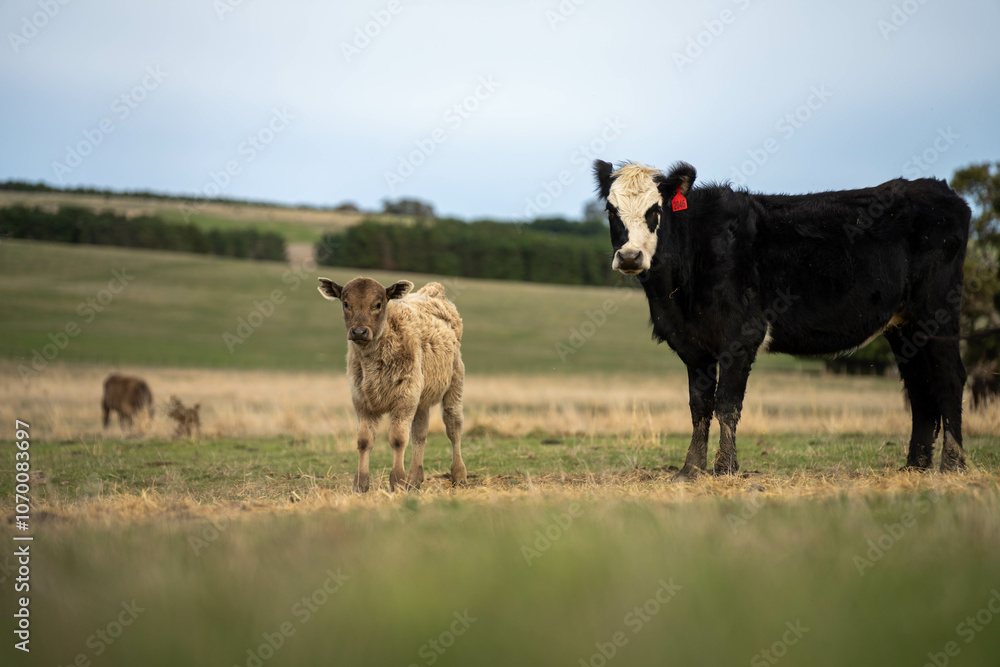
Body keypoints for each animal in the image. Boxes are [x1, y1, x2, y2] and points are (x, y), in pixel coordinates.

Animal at [317, 276, 467, 493]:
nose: (359, 331)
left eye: (378, 304)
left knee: (454, 427)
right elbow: (364, 440)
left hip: (454, 385)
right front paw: (360, 484)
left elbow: (398, 439)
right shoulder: (361, 400)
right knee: (420, 433)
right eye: (346, 303)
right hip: (421, 399)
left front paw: (397, 481)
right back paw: (415, 479)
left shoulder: (405, 397)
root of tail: (433, 290)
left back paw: (459, 475)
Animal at [594, 160, 971, 477]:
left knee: (949, 377)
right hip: (904, 326)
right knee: (920, 387)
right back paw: (915, 466)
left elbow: (726, 404)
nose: (629, 256)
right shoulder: (693, 344)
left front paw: (725, 468)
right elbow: (699, 406)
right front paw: (690, 470)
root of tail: (938, 190)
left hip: (937, 311)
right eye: (611, 210)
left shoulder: (742, 334)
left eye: (655, 210)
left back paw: (952, 464)